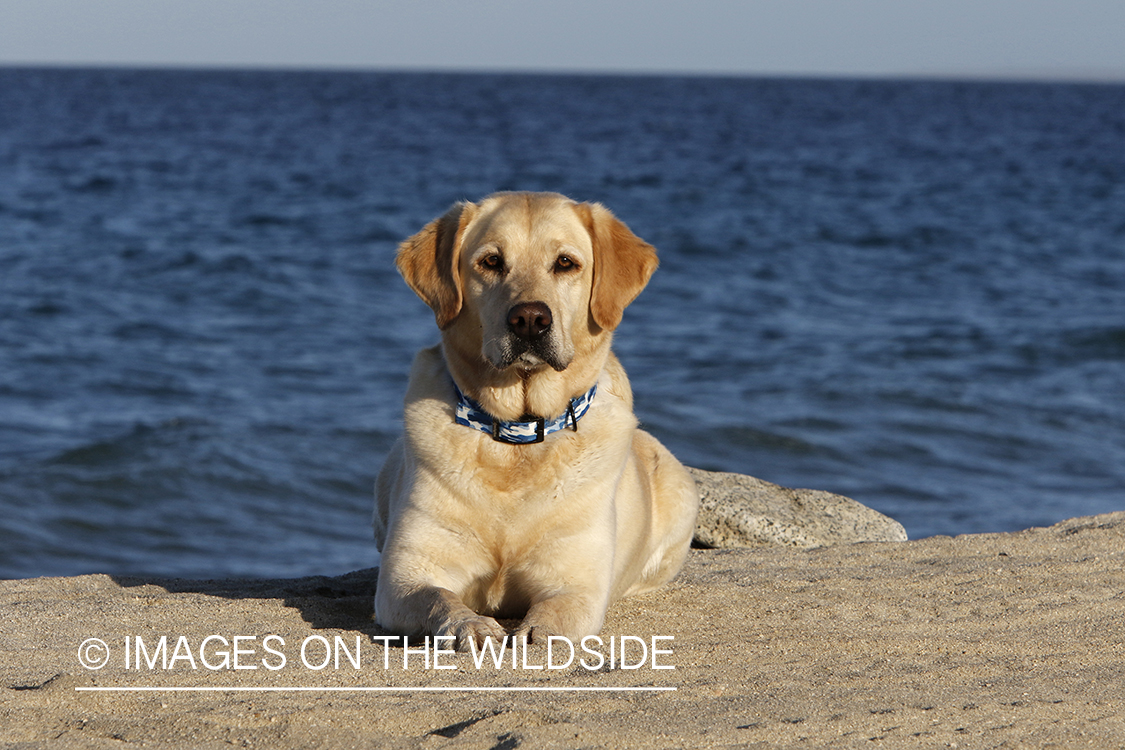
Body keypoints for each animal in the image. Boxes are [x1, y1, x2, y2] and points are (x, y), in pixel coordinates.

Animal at [373, 191, 697, 647]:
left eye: (565, 263)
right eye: (491, 261)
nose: (529, 319)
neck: (518, 437)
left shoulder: (576, 581)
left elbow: (554, 613)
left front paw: (536, 631)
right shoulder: (406, 575)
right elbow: (439, 597)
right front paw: (469, 624)